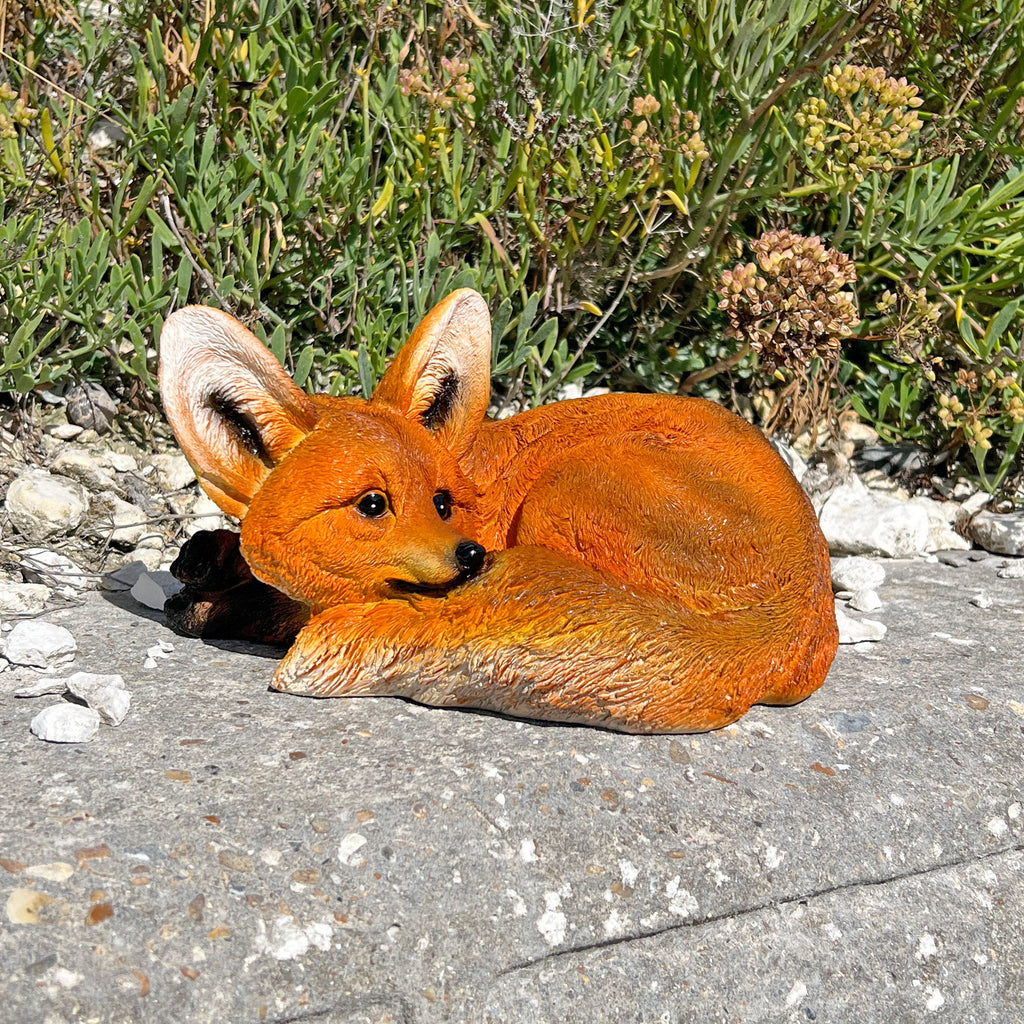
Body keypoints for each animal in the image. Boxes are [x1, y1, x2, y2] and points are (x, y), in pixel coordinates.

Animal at [158, 288, 838, 734]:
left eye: (441, 502)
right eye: (373, 504)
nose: (472, 556)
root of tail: (799, 610)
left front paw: (222, 598)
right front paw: (212, 564)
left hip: (564, 493)